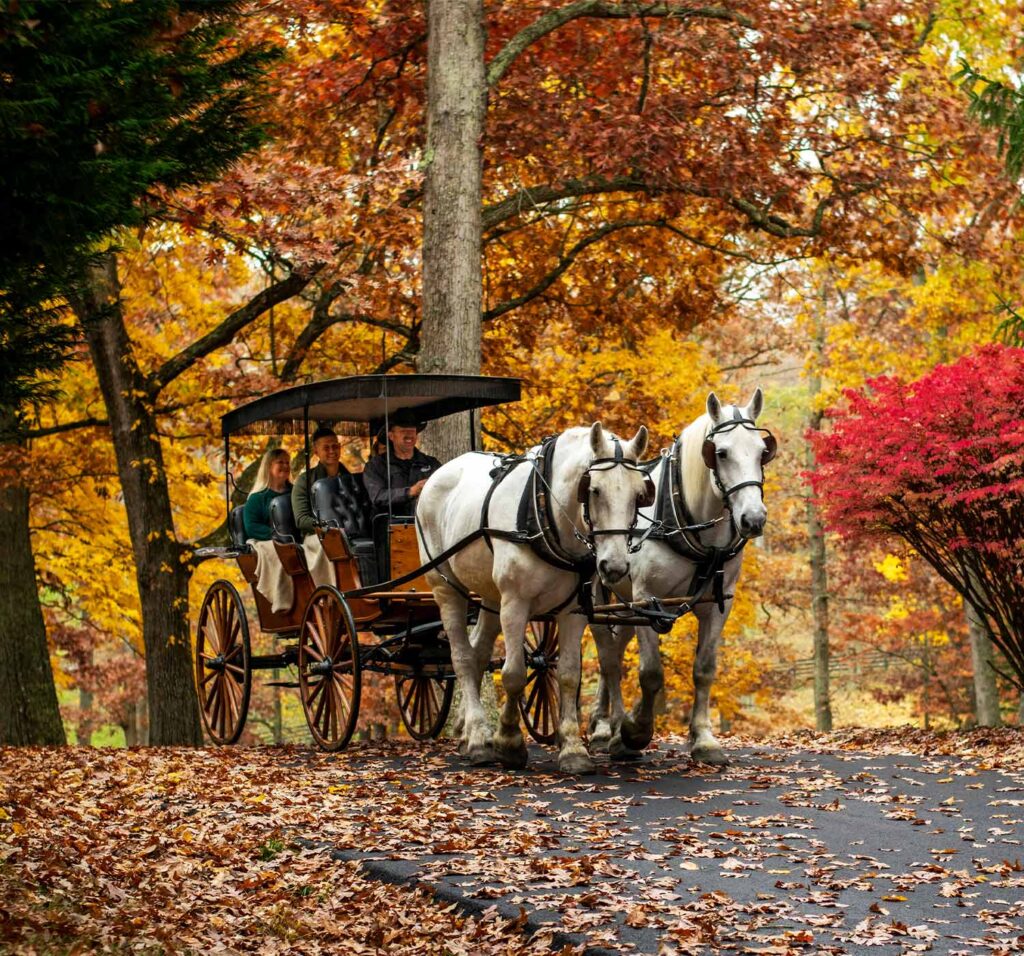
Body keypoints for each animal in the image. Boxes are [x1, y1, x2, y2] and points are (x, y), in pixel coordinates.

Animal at [419, 425, 651, 777]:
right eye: (594, 490)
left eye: (639, 494)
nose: (614, 566)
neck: (544, 513)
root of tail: (439, 473)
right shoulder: (515, 603)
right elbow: (513, 673)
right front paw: (509, 742)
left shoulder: (573, 610)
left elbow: (568, 674)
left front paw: (572, 750)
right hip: (446, 588)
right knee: (461, 657)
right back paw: (479, 741)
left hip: (490, 596)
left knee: (477, 653)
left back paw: (467, 732)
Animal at [589, 384, 770, 765]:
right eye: (720, 453)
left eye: (763, 452)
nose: (753, 518)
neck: (688, 519)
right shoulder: (646, 599)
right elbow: (651, 674)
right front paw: (635, 731)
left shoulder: (718, 603)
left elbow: (704, 669)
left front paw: (703, 740)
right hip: (600, 594)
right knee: (608, 658)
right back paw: (610, 733)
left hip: (624, 605)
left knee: (615, 649)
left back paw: (603, 726)